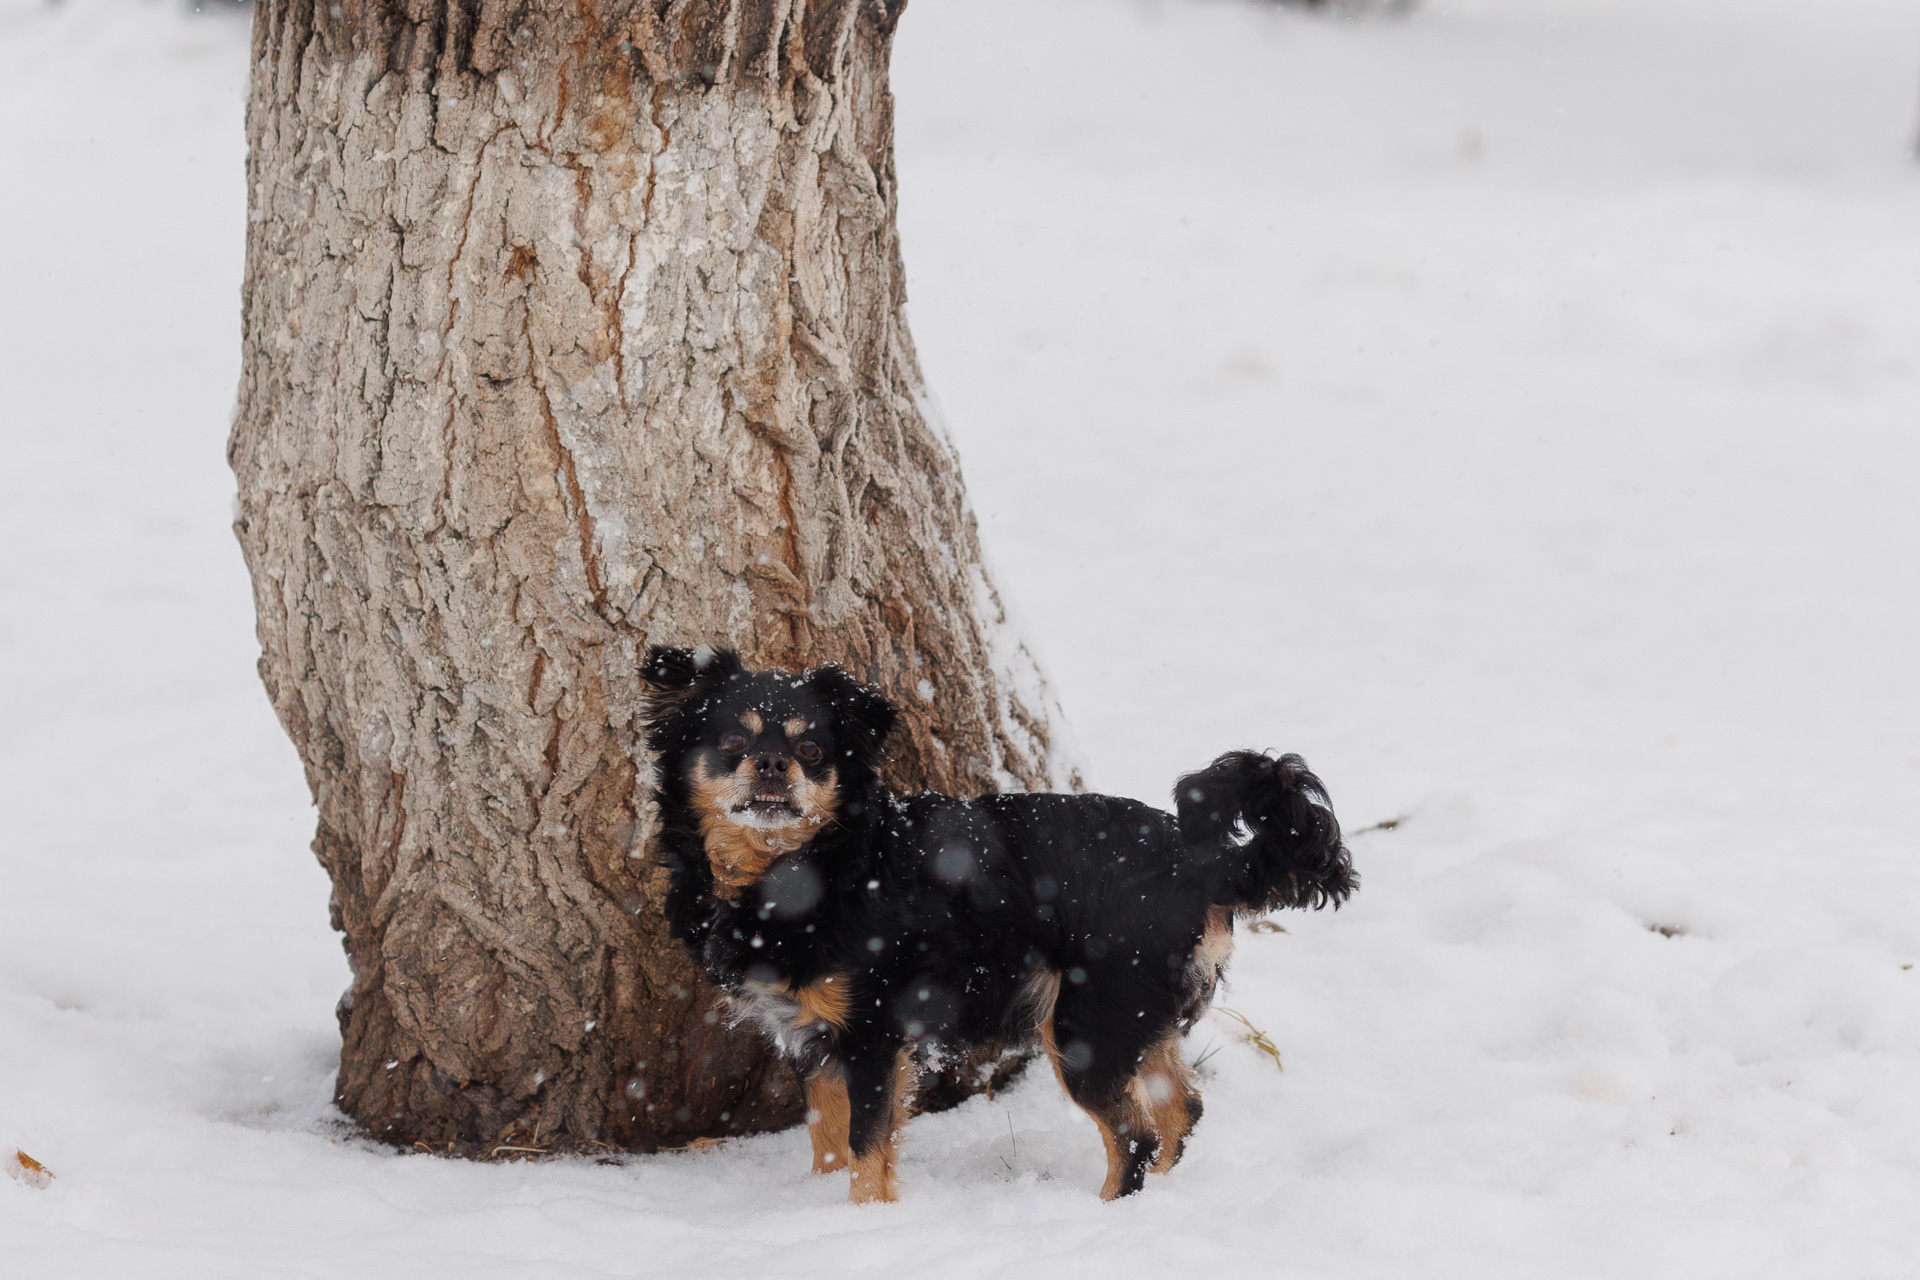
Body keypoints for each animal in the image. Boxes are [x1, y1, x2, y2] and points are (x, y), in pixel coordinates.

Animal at [645, 652, 1351, 1205]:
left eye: (813, 750)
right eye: (732, 744)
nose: (771, 765)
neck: (803, 869)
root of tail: (1198, 859)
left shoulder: (872, 1033)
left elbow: (867, 1146)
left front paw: (864, 1219)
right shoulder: (809, 1037)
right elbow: (827, 1138)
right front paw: (816, 1208)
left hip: (1082, 1029)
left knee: (1135, 1136)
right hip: (1134, 1019)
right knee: (1181, 1109)